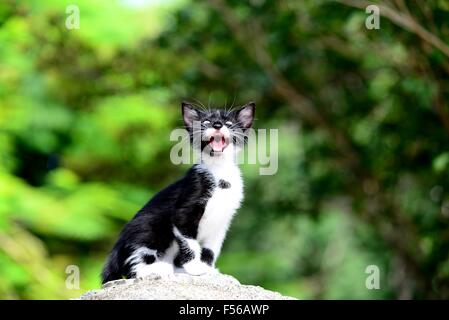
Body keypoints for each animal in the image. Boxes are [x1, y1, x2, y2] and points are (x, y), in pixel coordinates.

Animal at [101, 101, 256, 284]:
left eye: (229, 123)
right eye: (206, 122)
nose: (217, 125)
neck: (219, 171)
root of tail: (117, 248)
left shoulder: (222, 221)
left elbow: (211, 248)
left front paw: (208, 269)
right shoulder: (185, 208)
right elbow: (189, 241)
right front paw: (195, 268)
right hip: (147, 229)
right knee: (136, 263)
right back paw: (156, 268)